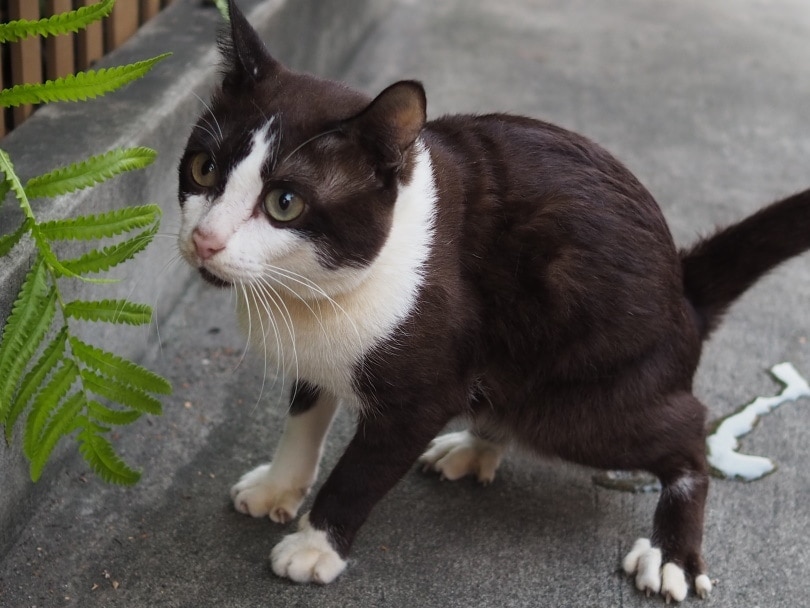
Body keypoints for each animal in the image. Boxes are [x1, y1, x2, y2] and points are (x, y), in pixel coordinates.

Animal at [175, 0, 808, 600]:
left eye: (284, 202)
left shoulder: (424, 392)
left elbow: (360, 472)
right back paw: (477, 445)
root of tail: (683, 292)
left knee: (686, 429)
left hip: (584, 403)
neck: (310, 293)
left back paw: (674, 552)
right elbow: (305, 415)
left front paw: (315, 545)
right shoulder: (315, 349)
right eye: (203, 168)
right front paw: (279, 485)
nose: (205, 239)